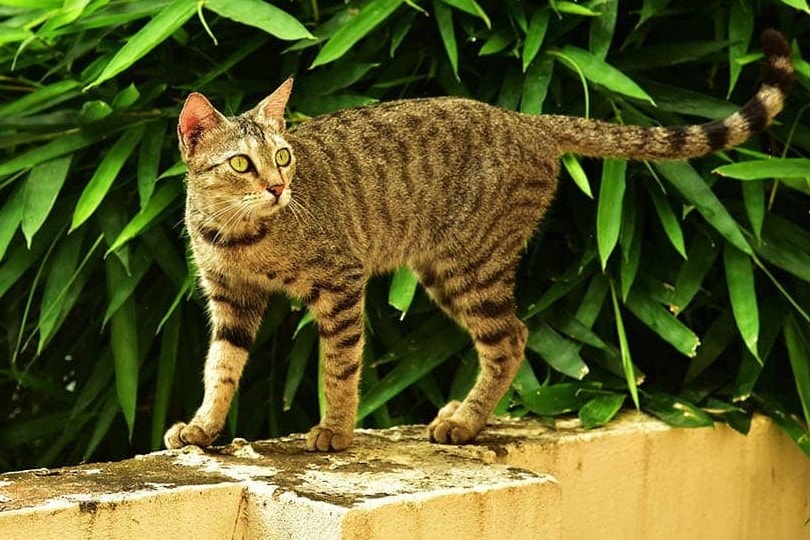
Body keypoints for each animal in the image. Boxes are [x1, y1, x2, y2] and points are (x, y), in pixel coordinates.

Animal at [163, 29, 788, 452]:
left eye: (284, 156)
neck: (238, 233)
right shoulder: (231, 298)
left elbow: (339, 367)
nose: (277, 186)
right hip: (448, 272)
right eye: (241, 163)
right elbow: (220, 367)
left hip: (471, 266)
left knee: (512, 338)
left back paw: (465, 421)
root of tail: (527, 121)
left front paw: (335, 430)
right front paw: (203, 428)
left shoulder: (341, 283)